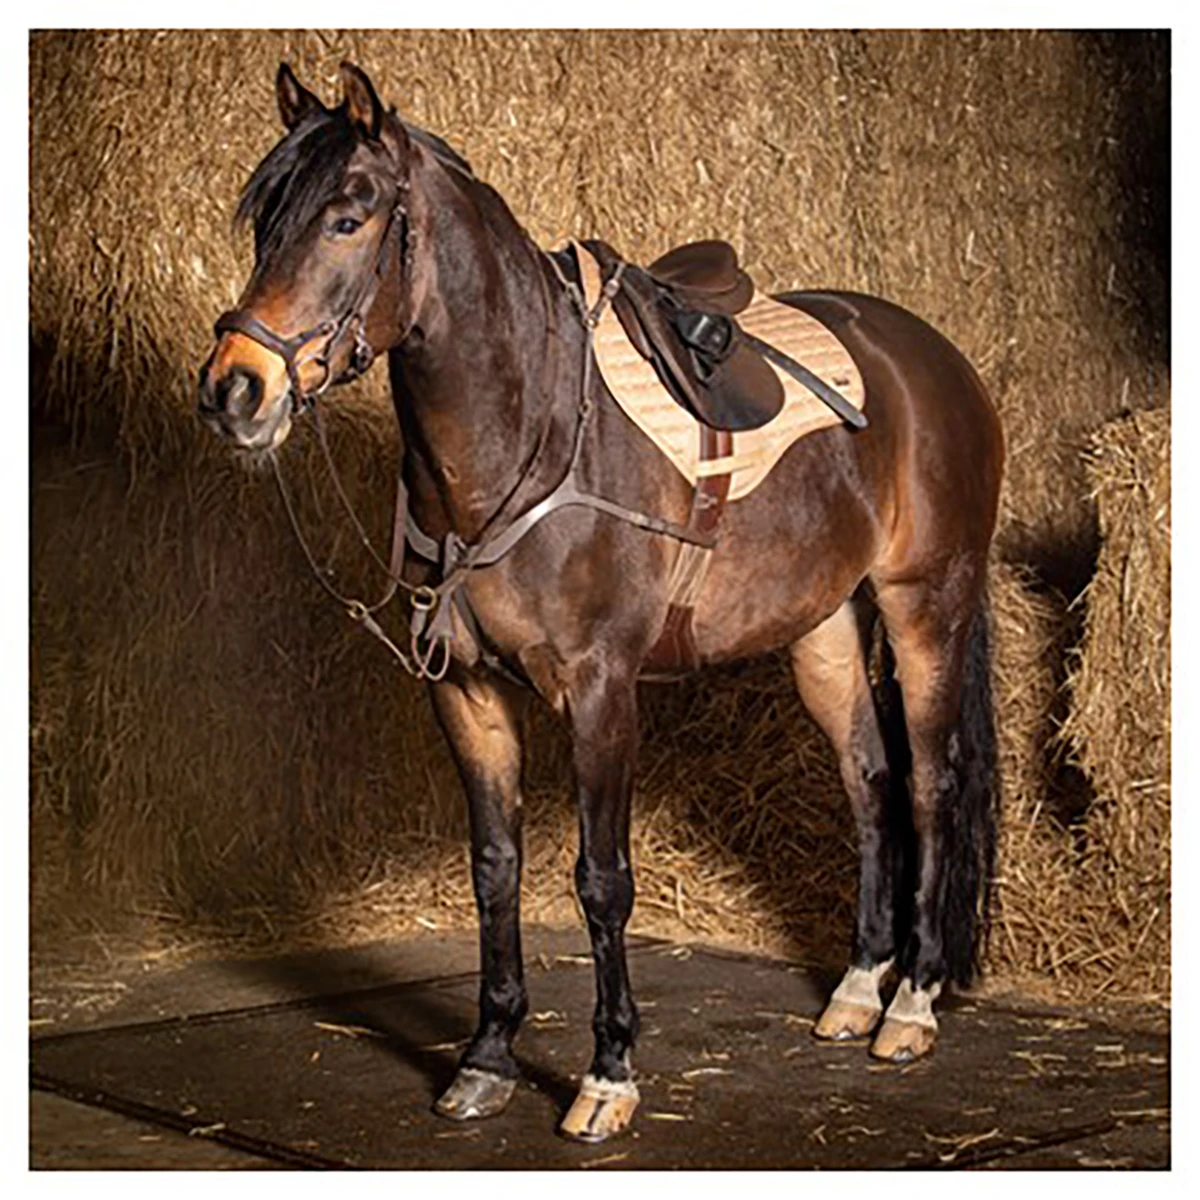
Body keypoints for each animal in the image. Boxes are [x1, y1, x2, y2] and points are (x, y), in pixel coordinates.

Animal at [198, 61, 1005, 1144]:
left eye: (348, 217)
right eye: (262, 221)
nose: (235, 390)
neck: (525, 433)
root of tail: (934, 361)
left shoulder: (599, 692)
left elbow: (600, 879)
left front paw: (608, 1073)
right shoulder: (465, 693)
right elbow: (495, 868)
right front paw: (486, 1056)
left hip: (926, 606)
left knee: (929, 783)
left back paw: (910, 1005)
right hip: (823, 627)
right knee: (868, 779)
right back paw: (854, 990)